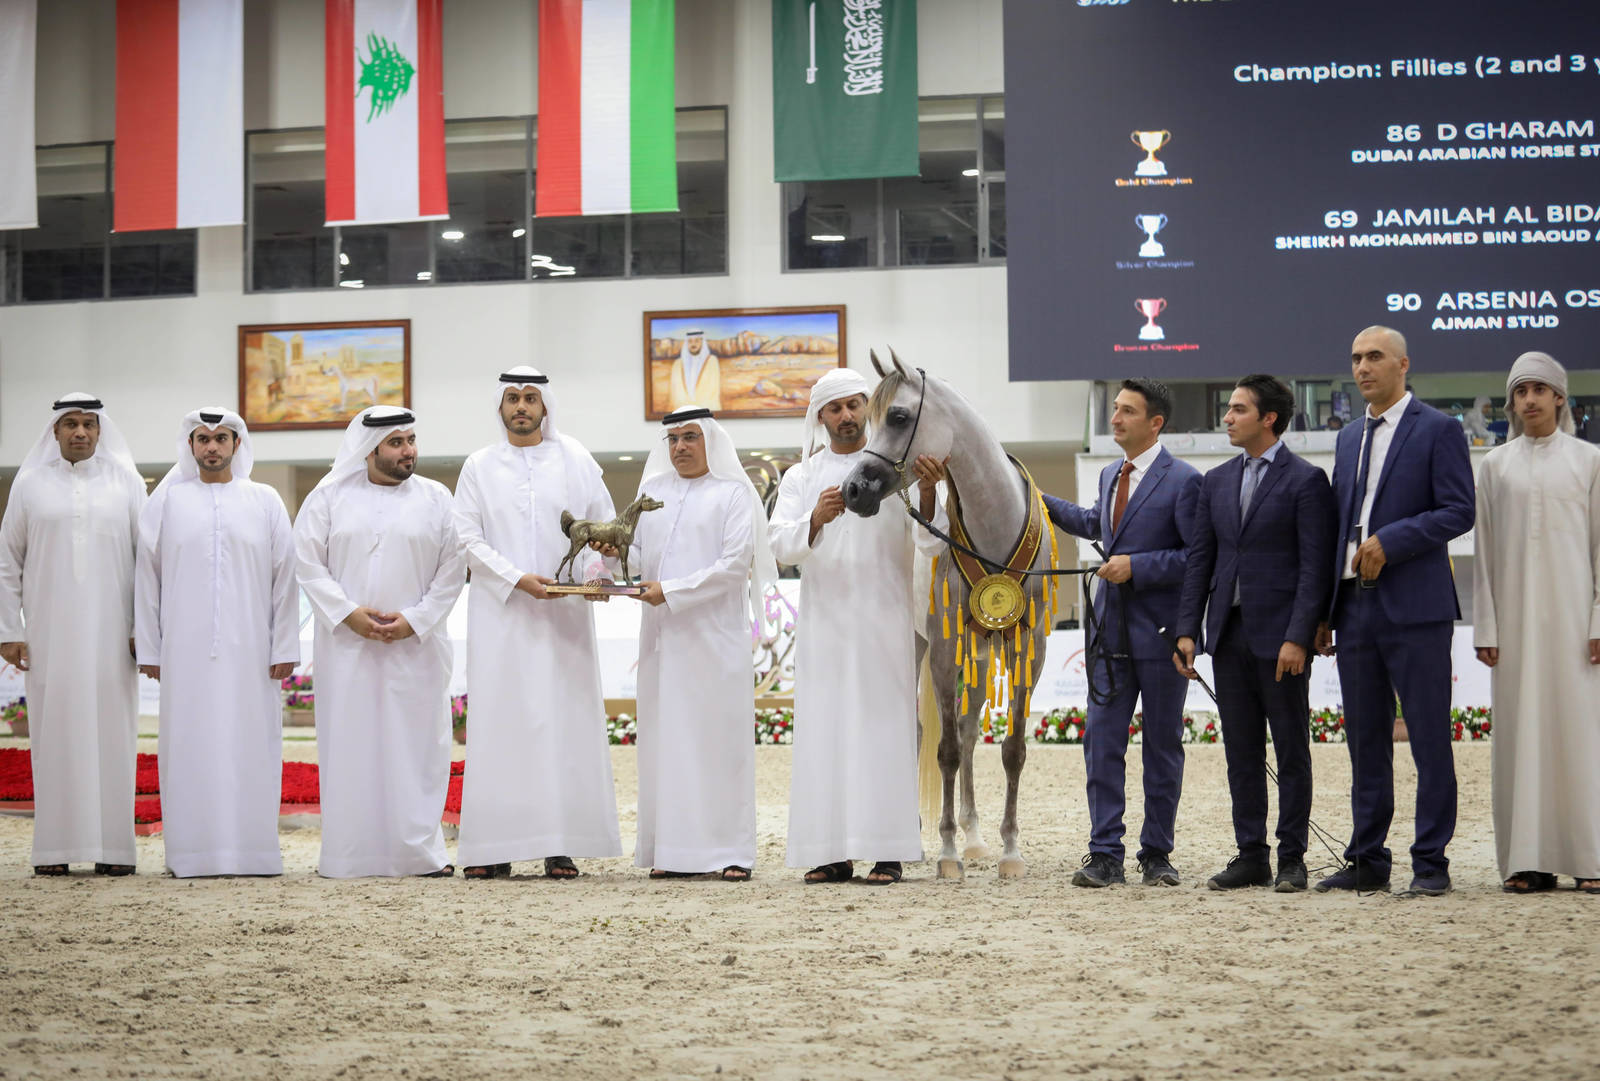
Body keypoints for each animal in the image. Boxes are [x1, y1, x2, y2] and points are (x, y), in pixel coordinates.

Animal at [840, 351, 1056, 880]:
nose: (853, 490)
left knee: (970, 728)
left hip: (979, 654)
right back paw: (914, 836)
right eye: (868, 419)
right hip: (921, 646)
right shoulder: (942, 649)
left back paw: (976, 838)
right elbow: (946, 752)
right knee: (922, 732)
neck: (994, 527)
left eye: (898, 417)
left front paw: (1009, 851)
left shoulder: (1030, 649)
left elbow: (1011, 749)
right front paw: (947, 853)